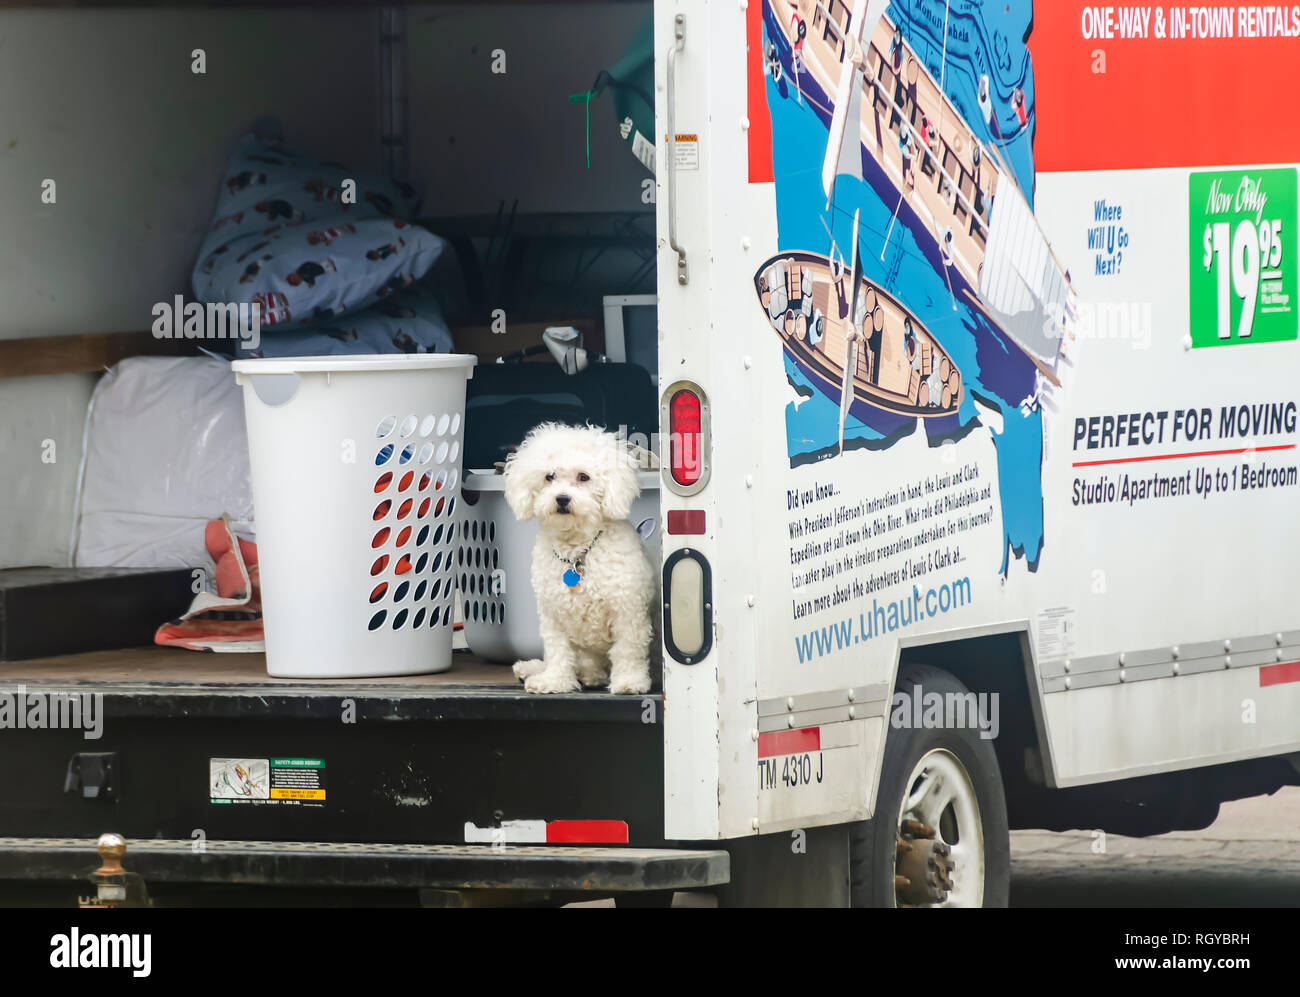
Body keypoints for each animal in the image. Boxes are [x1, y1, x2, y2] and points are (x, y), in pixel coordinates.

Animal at [501, 421, 655, 696]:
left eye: (584, 477)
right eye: (549, 476)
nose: (562, 498)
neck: (577, 552)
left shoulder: (628, 611)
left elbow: (628, 650)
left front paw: (630, 682)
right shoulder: (553, 615)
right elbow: (558, 651)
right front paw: (555, 681)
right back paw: (535, 669)